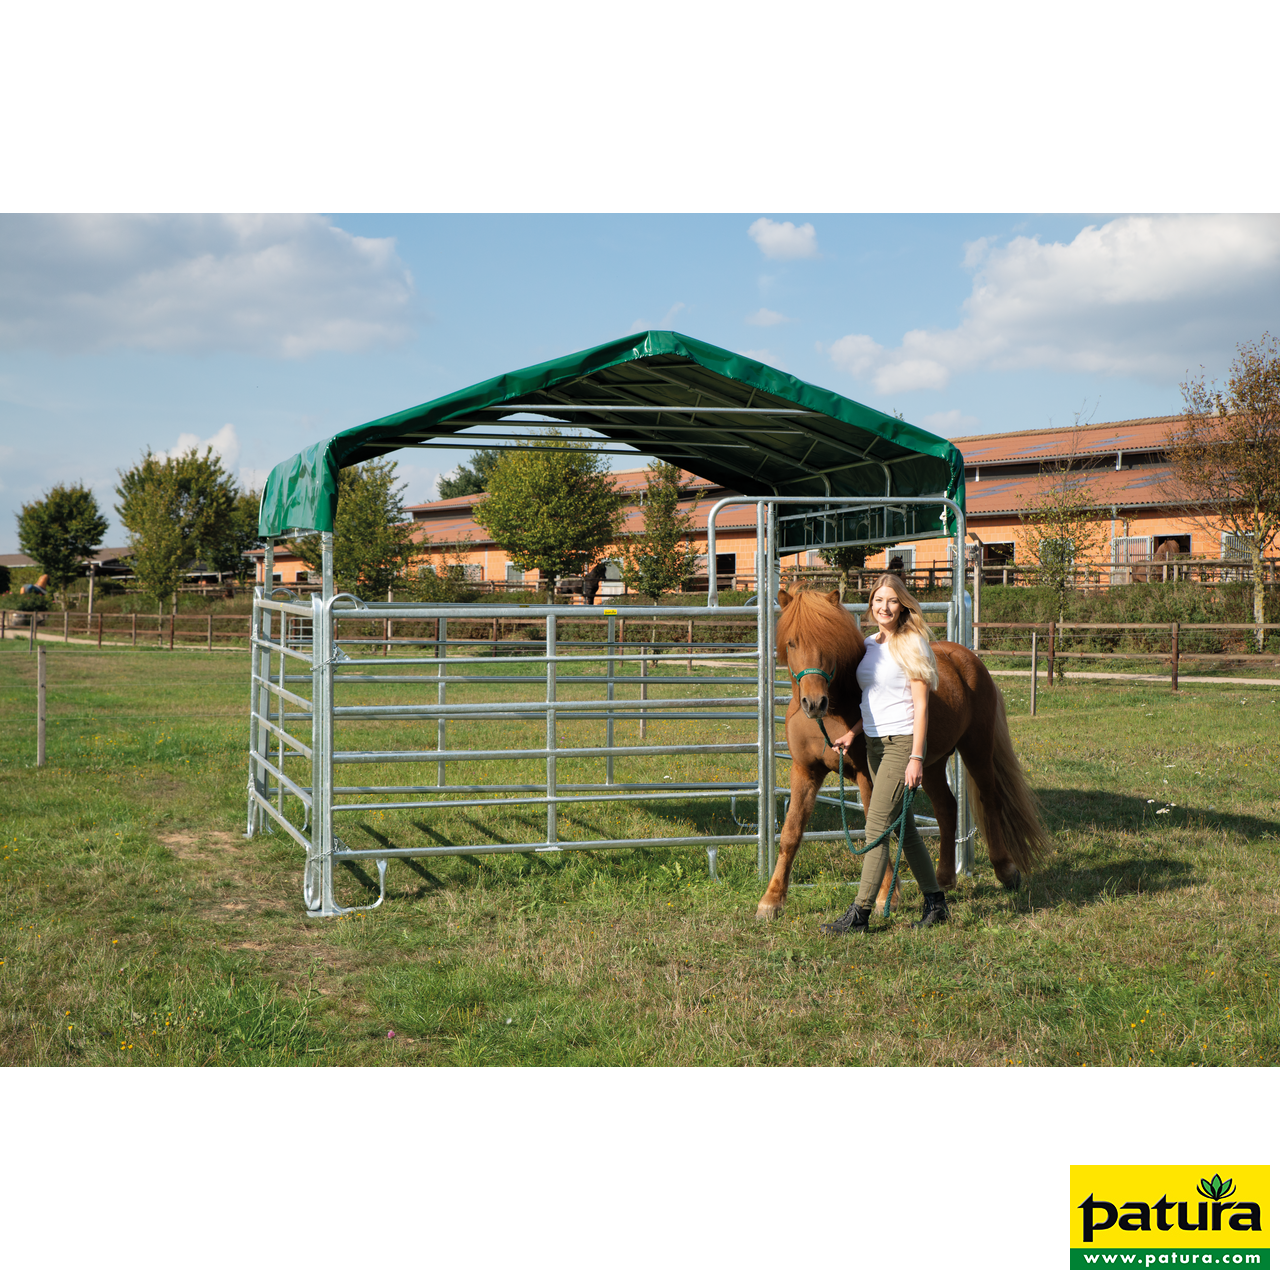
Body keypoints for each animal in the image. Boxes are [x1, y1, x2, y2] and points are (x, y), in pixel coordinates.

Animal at [756, 586, 1050, 921]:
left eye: (830, 642)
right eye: (792, 642)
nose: (814, 702)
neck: (831, 713)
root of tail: (966, 658)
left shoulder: (868, 775)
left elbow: (877, 831)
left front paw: (885, 896)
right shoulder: (805, 771)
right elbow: (791, 833)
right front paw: (771, 900)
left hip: (976, 748)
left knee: (990, 800)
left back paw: (1006, 870)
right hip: (929, 766)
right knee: (947, 808)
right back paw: (944, 878)